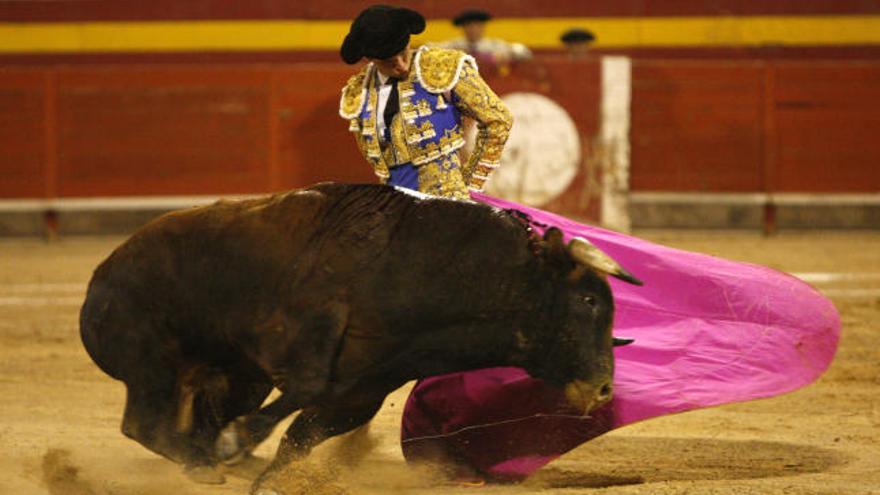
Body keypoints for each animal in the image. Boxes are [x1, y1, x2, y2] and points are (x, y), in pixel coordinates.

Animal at [79, 183, 640, 488]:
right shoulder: (287, 337)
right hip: (151, 365)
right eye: (590, 301)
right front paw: (236, 443)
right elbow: (304, 388)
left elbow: (301, 438)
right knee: (144, 425)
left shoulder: (363, 390)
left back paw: (207, 457)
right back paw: (205, 463)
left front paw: (268, 479)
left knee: (186, 420)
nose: (603, 389)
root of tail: (102, 275)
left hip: (226, 378)